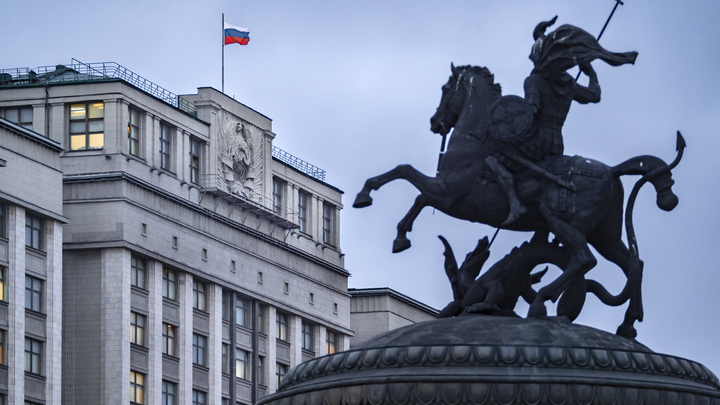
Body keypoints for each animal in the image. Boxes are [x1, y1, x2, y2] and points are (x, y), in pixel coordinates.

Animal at [354, 65, 680, 338]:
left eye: (446, 89)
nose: (436, 122)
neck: (473, 142)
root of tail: (612, 171)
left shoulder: (447, 195)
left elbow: (407, 176)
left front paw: (375, 207)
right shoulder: (446, 195)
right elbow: (414, 188)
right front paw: (397, 231)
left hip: (561, 221)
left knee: (584, 259)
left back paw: (541, 301)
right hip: (606, 234)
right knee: (634, 264)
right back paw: (627, 324)